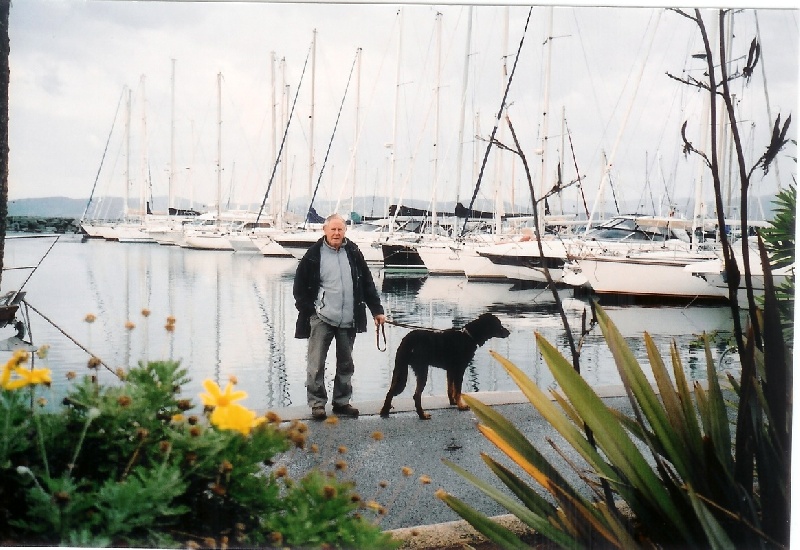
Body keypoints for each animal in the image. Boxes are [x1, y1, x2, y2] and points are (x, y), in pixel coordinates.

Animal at [378, 314, 510, 422]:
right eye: (498, 325)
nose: (508, 332)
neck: (468, 337)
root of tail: (407, 341)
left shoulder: (450, 370)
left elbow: (450, 389)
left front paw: (453, 402)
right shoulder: (459, 370)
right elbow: (458, 390)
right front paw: (461, 406)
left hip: (400, 369)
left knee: (390, 392)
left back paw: (385, 411)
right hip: (422, 370)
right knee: (416, 395)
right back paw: (422, 415)